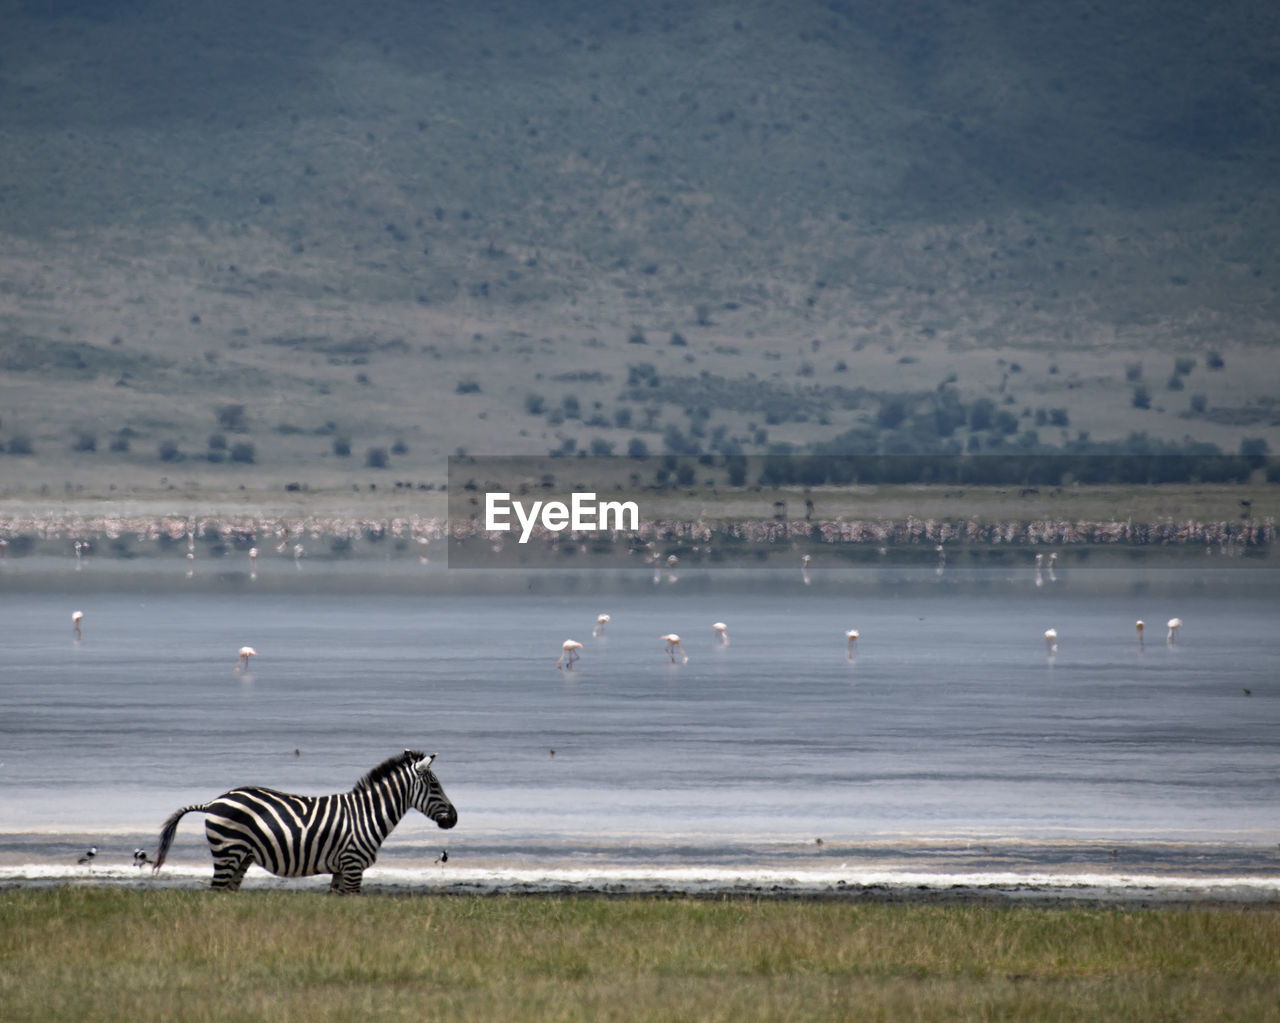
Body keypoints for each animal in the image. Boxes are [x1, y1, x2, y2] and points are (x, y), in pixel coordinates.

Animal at [151, 747, 458, 891]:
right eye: (434, 785)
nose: (454, 819)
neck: (367, 814)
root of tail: (213, 801)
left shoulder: (340, 869)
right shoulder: (353, 865)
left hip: (241, 857)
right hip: (227, 852)